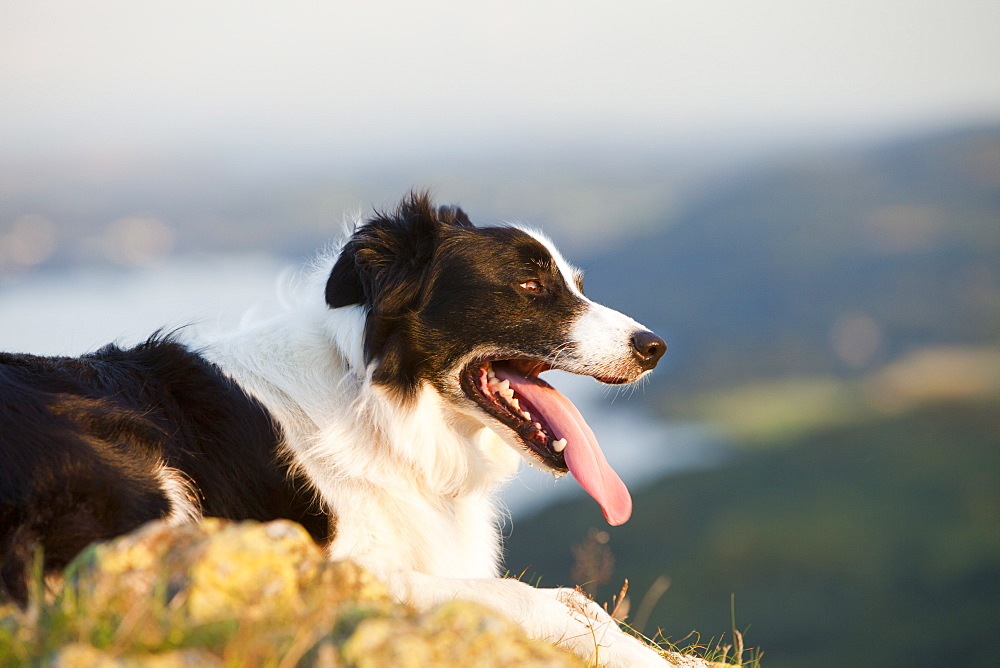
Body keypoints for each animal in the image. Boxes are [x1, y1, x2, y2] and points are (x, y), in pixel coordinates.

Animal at [3, 193, 672, 668]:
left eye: (577, 285)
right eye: (530, 285)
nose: (654, 347)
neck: (380, 408)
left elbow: (580, 603)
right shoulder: (352, 567)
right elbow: (537, 599)